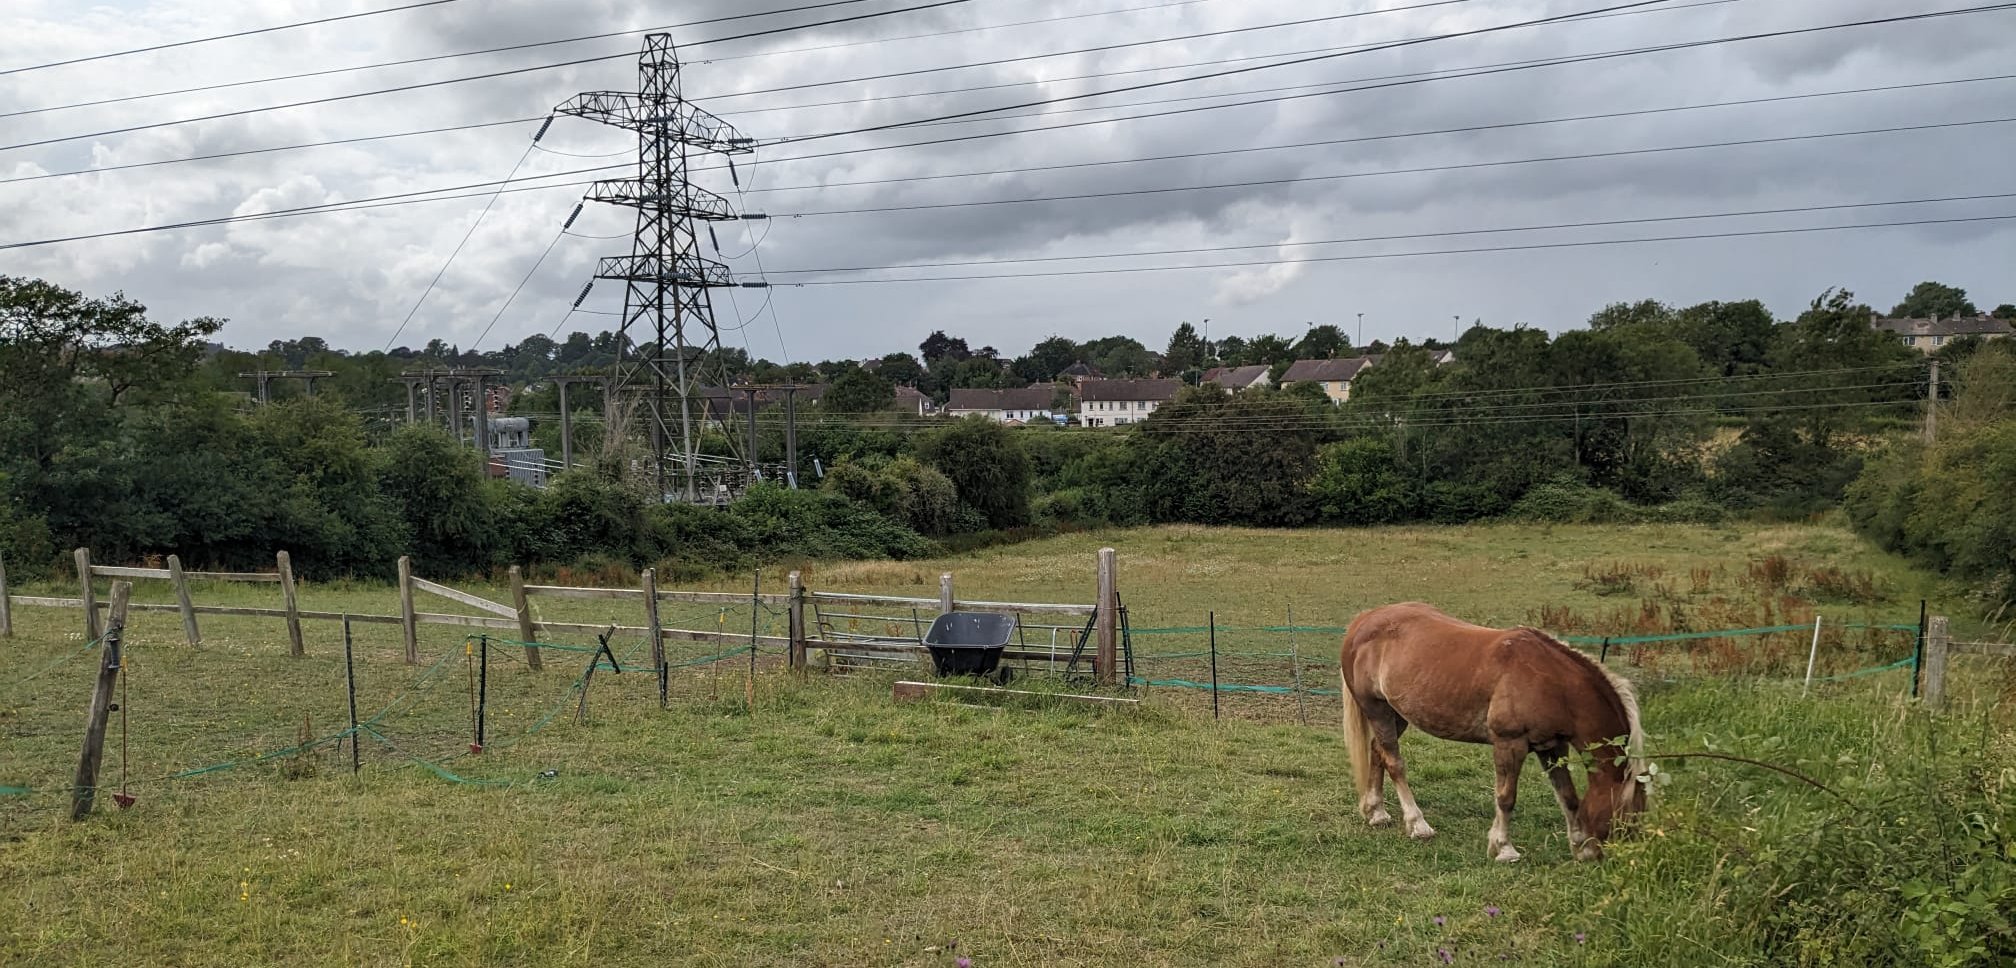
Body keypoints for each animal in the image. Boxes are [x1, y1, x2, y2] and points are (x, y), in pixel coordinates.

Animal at [1338, 600, 1636, 859]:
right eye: (1630, 808)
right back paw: (1418, 824)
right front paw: (1504, 848)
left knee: (1377, 751)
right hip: (1377, 710)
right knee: (1394, 762)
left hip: (1396, 715)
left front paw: (1581, 847)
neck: (1552, 681)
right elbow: (1506, 797)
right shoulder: (1510, 743)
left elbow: (1568, 795)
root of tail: (1364, 620)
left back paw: (1376, 813)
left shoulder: (1552, 746)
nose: (1626, 853)